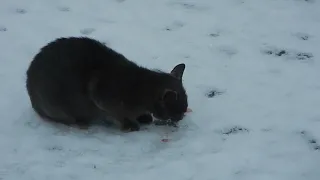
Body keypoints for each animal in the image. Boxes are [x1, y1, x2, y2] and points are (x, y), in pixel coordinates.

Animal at [26, 36, 190, 131]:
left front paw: (143, 117)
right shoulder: (103, 98)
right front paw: (131, 125)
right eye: (177, 111)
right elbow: (118, 114)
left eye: (184, 108)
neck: (141, 88)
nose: (181, 117)